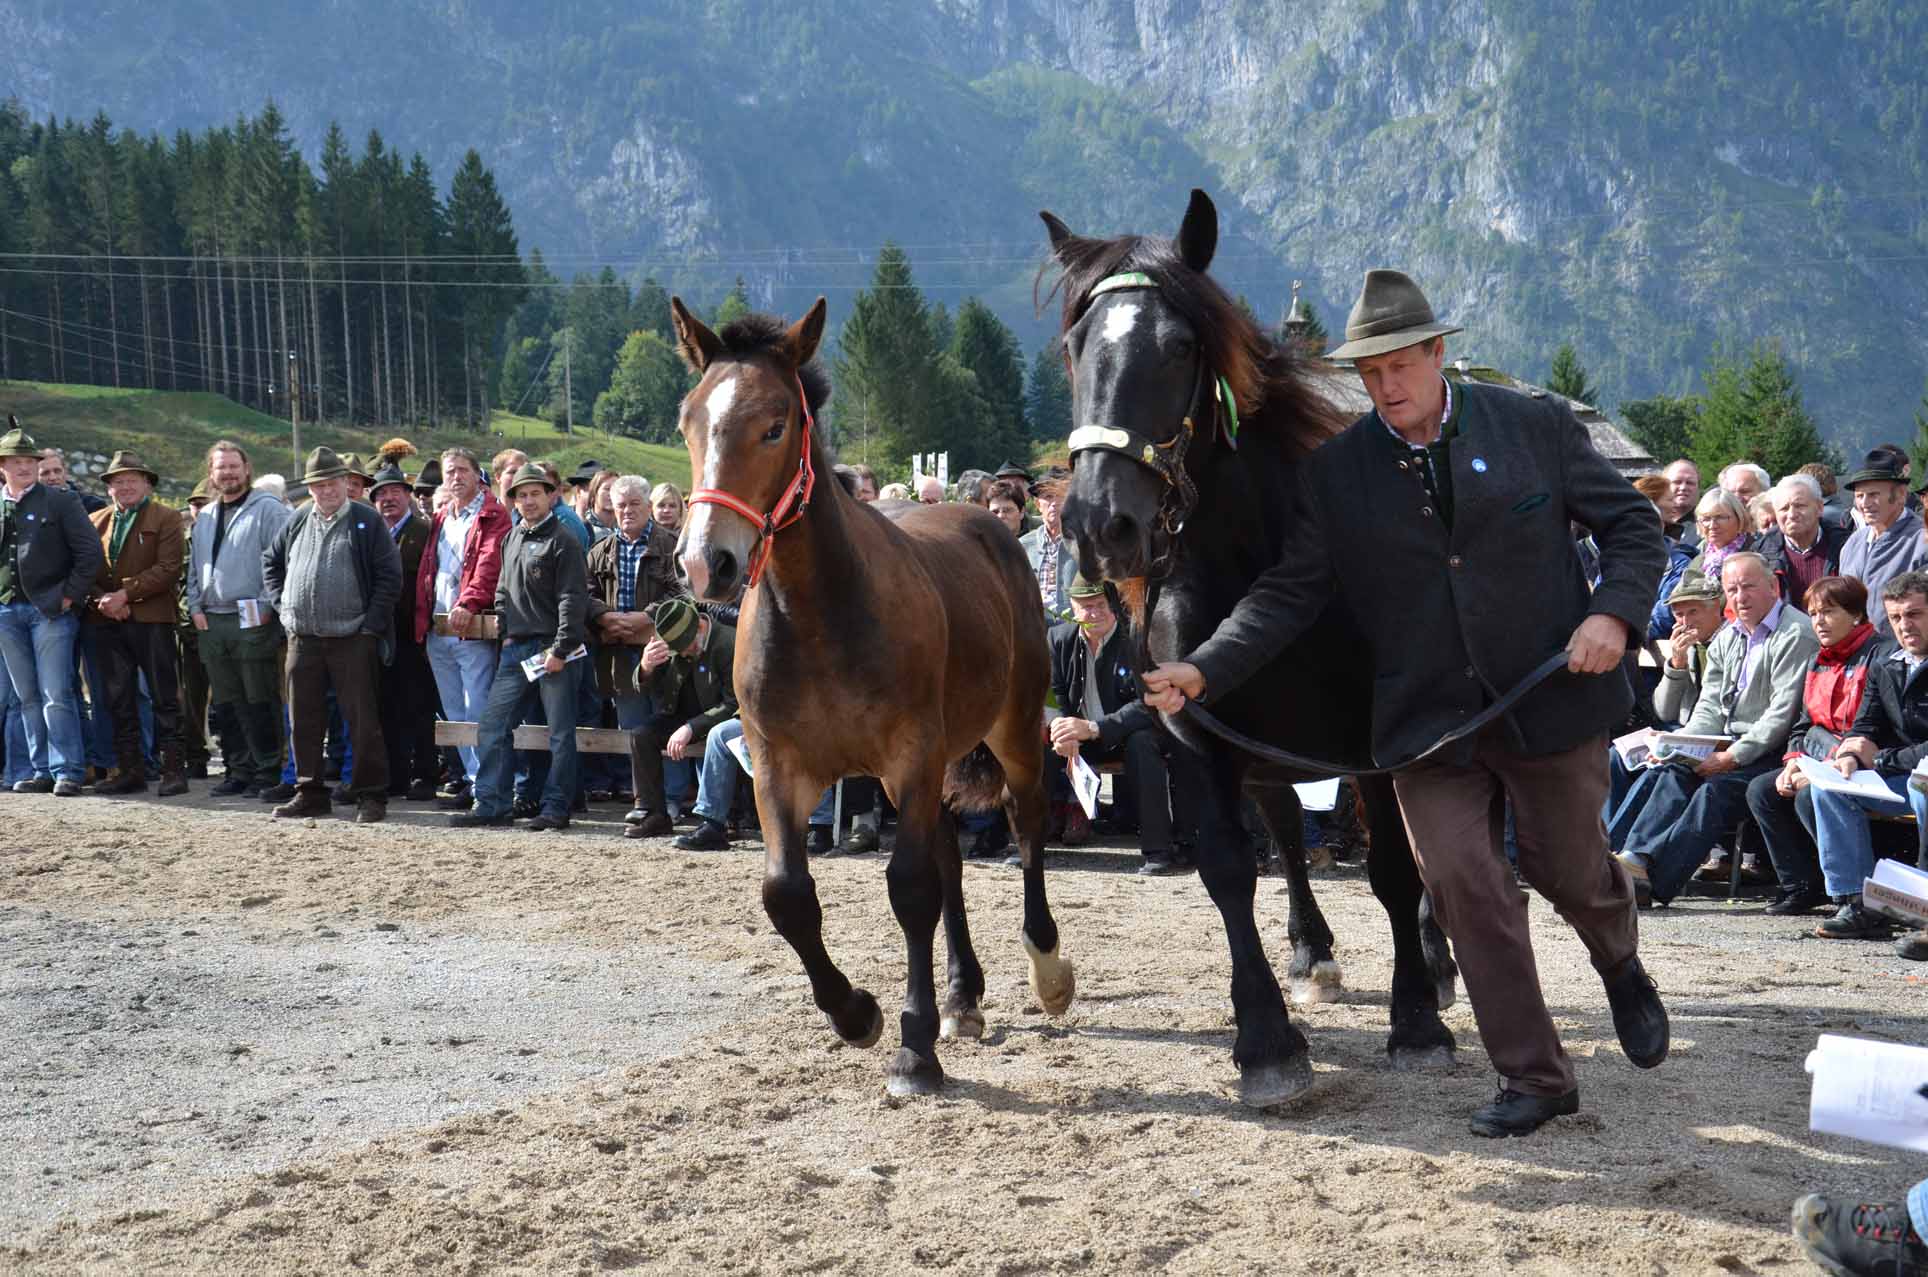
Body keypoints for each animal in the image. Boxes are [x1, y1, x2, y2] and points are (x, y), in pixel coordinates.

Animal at [667, 295, 1071, 1095]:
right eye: (689, 420)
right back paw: (962, 996)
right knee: (950, 852)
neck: (822, 615)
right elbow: (788, 894)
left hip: (1010, 729)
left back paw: (1045, 970)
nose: (705, 563)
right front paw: (857, 1013)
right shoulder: (780, 763)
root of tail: (990, 527)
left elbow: (910, 888)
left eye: (774, 425)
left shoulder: (909, 754)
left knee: (1026, 823)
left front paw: (915, 1049)